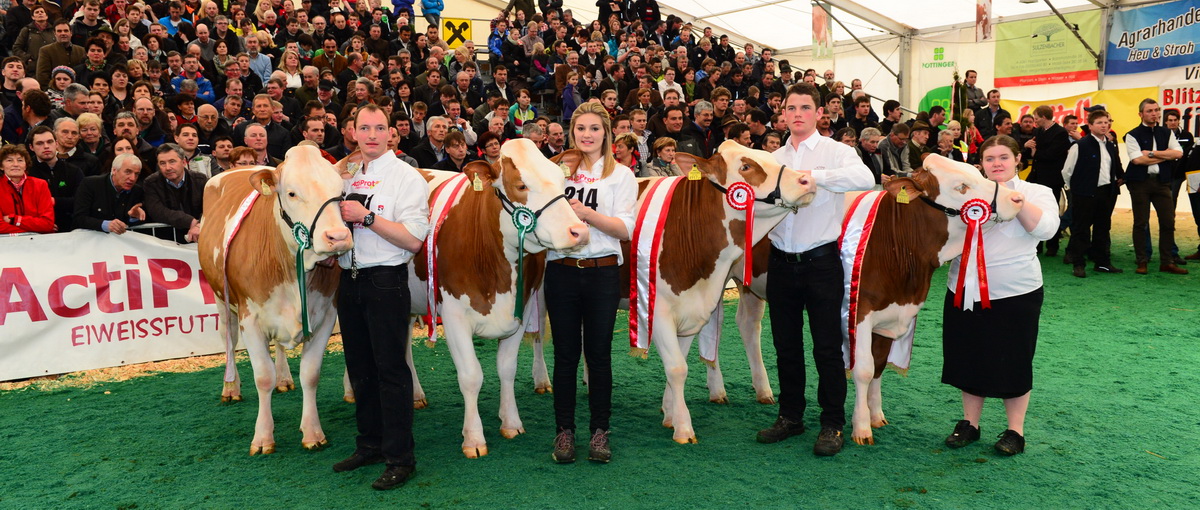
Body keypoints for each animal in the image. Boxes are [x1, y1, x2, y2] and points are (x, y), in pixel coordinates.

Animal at [196, 140, 352, 453]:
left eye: (340, 192)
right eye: (291, 193)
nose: (338, 237)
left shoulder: (325, 315)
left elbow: (310, 374)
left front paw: (312, 432)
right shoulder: (251, 318)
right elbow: (262, 377)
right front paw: (263, 437)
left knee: (279, 347)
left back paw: (284, 378)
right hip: (221, 299)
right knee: (228, 338)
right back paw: (230, 388)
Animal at [624, 141, 820, 444]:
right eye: (746, 166)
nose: (806, 180)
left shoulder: (692, 306)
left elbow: (679, 364)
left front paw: (669, 414)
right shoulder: (658, 311)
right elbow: (677, 368)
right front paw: (683, 428)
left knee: (741, 326)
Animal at [840, 153, 1027, 444]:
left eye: (979, 172)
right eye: (961, 186)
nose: (1016, 199)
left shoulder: (889, 316)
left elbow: (879, 365)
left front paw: (876, 415)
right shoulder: (860, 311)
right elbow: (864, 369)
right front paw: (861, 427)